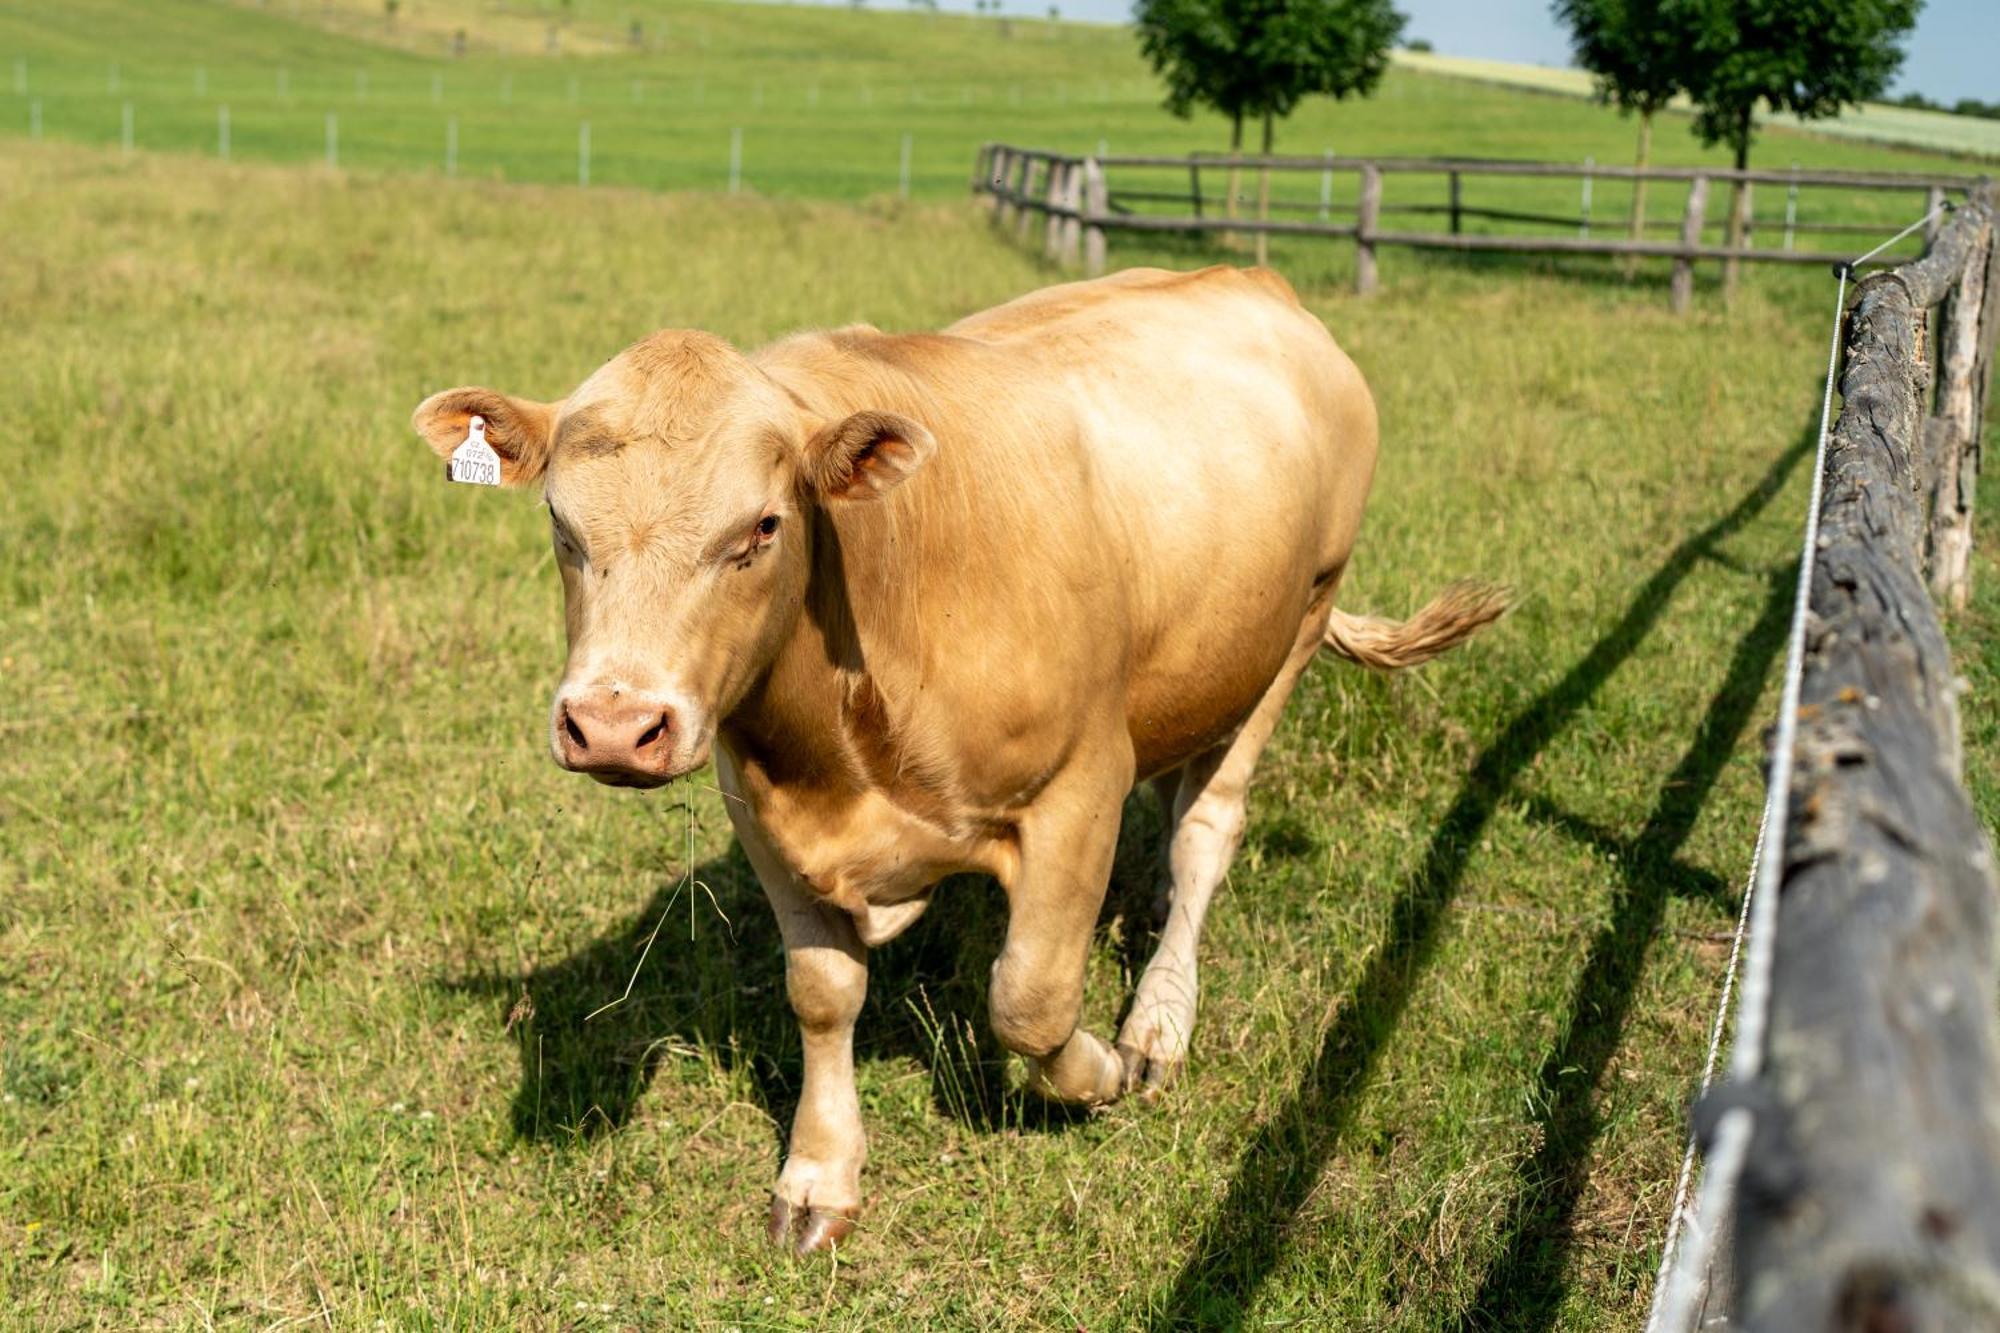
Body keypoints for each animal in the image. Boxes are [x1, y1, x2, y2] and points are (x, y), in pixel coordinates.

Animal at [406, 264, 1504, 1248]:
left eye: (761, 528)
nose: (612, 724)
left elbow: (1030, 1000)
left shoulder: (1078, 789)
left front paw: (1097, 1073)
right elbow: (822, 993)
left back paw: (1155, 1023)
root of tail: (1256, 281)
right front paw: (819, 1173)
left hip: (1298, 624)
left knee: (1204, 830)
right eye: (561, 524)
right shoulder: (758, 809)